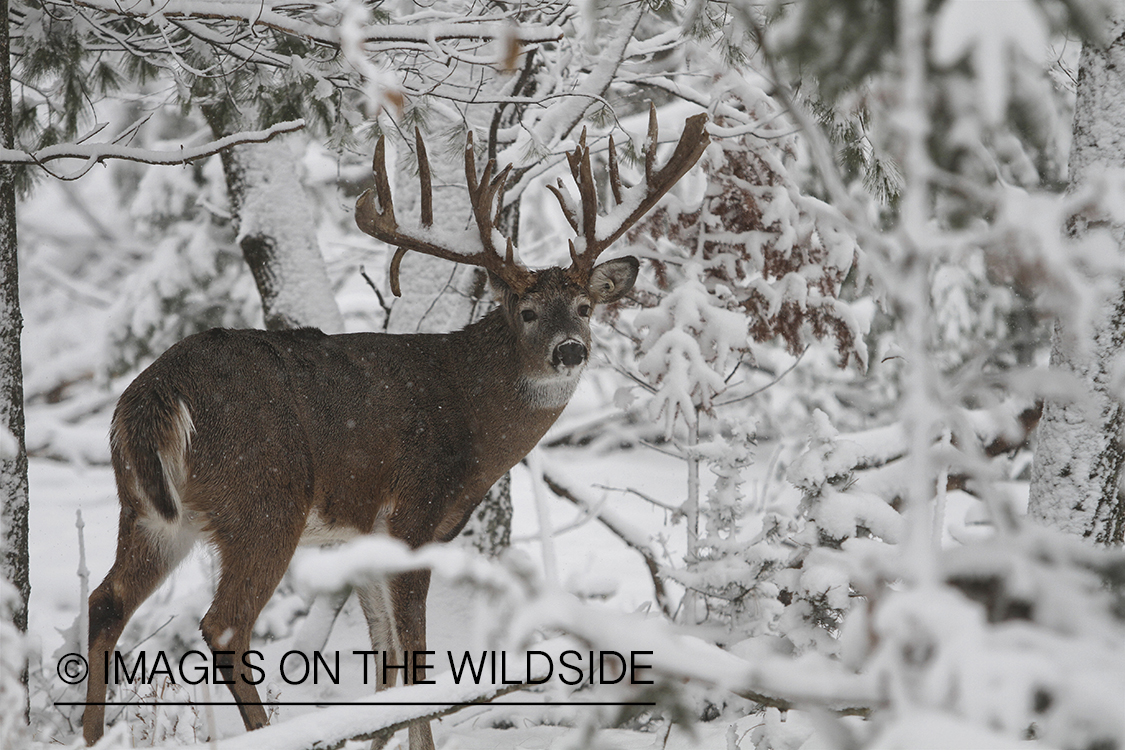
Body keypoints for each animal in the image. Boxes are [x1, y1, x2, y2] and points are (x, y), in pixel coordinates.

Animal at [83, 108, 706, 746]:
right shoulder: (416, 513)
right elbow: (415, 658)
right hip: (263, 500)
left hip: (148, 508)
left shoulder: (363, 535)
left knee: (107, 600)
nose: (570, 350)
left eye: (584, 307)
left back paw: (89, 733)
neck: (471, 415)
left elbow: (385, 665)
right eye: (527, 312)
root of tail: (157, 391)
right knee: (225, 626)